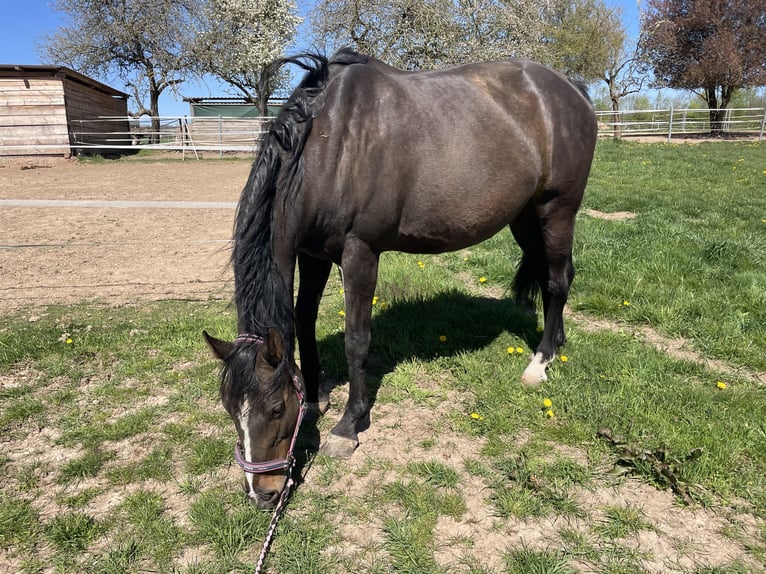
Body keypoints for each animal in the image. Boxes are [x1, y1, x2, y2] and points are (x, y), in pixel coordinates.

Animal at [204, 48, 597, 508]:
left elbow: (357, 340)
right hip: (525, 215)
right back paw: (556, 344)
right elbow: (303, 321)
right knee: (558, 275)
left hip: (558, 210)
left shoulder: (359, 253)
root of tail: (571, 89)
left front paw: (347, 426)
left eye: (276, 409)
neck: (328, 146)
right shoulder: (312, 253)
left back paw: (540, 363)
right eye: (230, 409)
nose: (261, 495)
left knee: (557, 281)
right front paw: (316, 396)